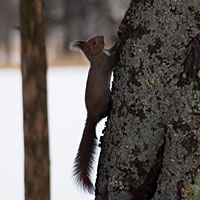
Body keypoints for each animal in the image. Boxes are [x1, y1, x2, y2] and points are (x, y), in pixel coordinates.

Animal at [70, 35, 118, 193]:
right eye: (94, 42)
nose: (102, 36)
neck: (96, 56)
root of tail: (91, 116)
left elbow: (111, 50)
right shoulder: (105, 63)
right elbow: (113, 59)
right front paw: (121, 41)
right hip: (104, 98)